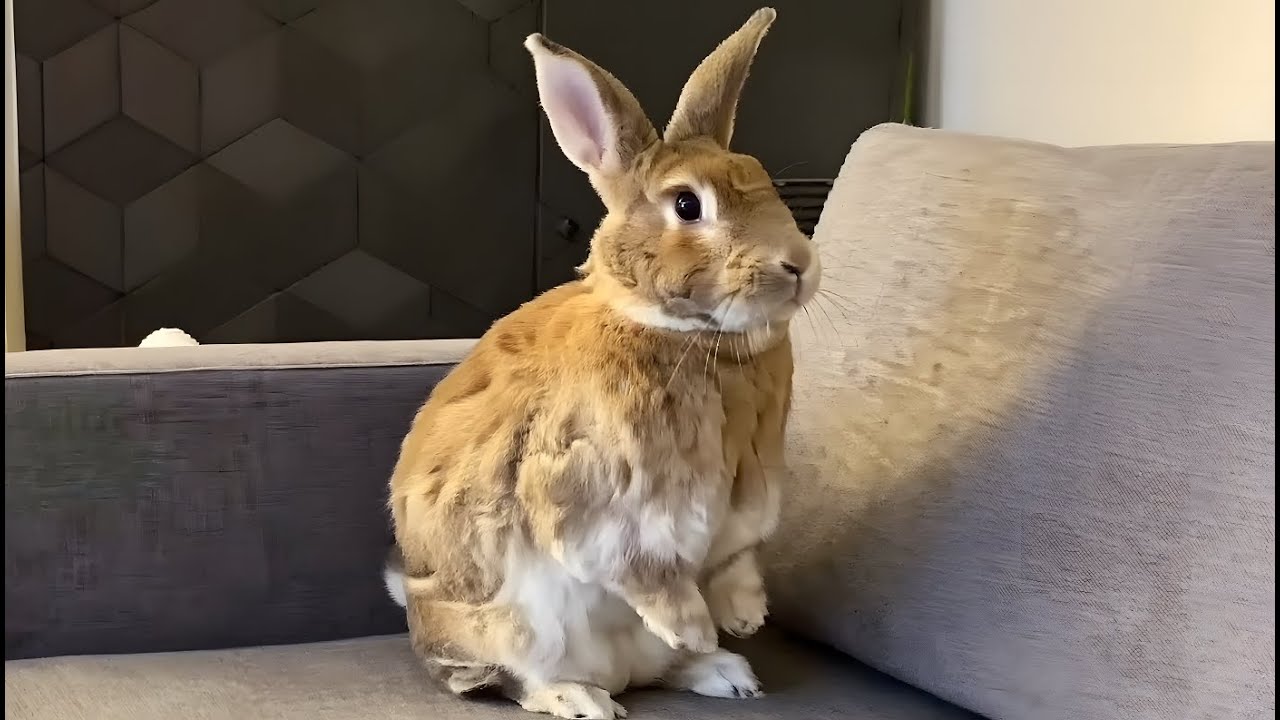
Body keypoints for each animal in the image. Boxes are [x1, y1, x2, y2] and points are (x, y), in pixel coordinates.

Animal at [384, 8, 820, 719]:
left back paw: (725, 672)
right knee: (519, 681)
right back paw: (584, 697)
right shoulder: (589, 491)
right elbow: (643, 571)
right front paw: (695, 623)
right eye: (687, 205)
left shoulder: (751, 499)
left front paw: (744, 618)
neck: (691, 337)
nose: (799, 265)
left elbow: (736, 559)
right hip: (515, 626)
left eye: (759, 177)